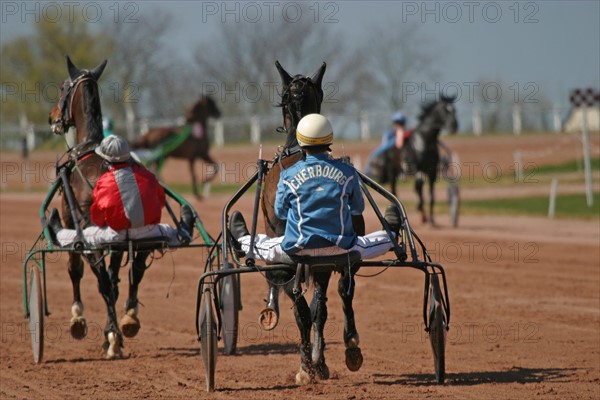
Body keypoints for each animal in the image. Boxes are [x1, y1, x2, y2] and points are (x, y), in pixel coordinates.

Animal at [48, 54, 149, 358]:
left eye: (62, 87)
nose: (52, 117)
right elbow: (115, 281)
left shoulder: (71, 223)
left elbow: (75, 270)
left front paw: (78, 318)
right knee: (126, 277)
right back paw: (126, 322)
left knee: (103, 281)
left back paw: (113, 336)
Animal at [258, 60, 366, 384]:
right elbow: (319, 307)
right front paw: (318, 361)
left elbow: (308, 308)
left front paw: (311, 364)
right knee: (336, 295)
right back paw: (344, 348)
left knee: (307, 305)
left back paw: (310, 363)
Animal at [366, 95, 460, 223]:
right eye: (445, 110)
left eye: (454, 110)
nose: (454, 126)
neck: (425, 141)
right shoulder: (414, 168)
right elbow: (419, 186)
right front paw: (420, 210)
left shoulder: (432, 172)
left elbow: (431, 195)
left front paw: (431, 219)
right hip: (392, 171)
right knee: (394, 189)